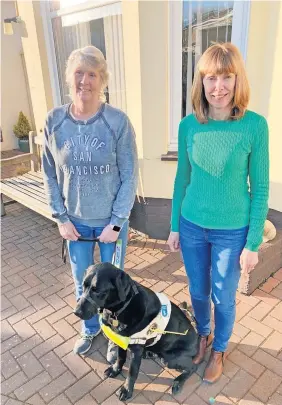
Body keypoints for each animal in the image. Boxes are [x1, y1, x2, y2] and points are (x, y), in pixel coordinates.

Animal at [75, 262, 198, 400]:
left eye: (98, 291)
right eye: (83, 286)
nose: (76, 312)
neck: (121, 309)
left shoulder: (136, 350)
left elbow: (132, 372)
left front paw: (126, 390)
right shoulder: (121, 340)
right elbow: (120, 358)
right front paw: (115, 370)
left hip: (170, 358)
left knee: (193, 367)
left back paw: (178, 382)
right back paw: (150, 353)